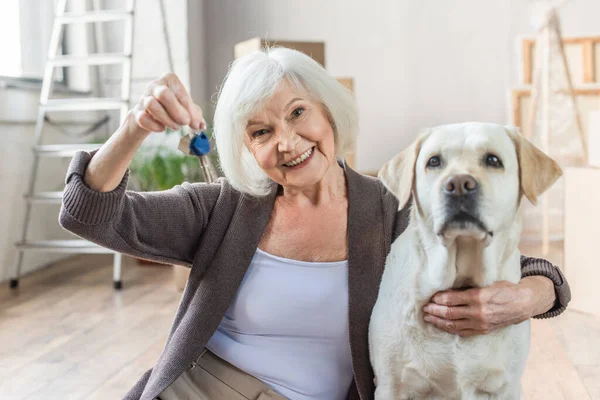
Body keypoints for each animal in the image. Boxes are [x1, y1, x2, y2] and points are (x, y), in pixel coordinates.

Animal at [370, 122, 564, 400]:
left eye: (493, 160)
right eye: (434, 161)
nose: (459, 184)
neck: (458, 277)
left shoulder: (505, 385)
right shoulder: (390, 383)